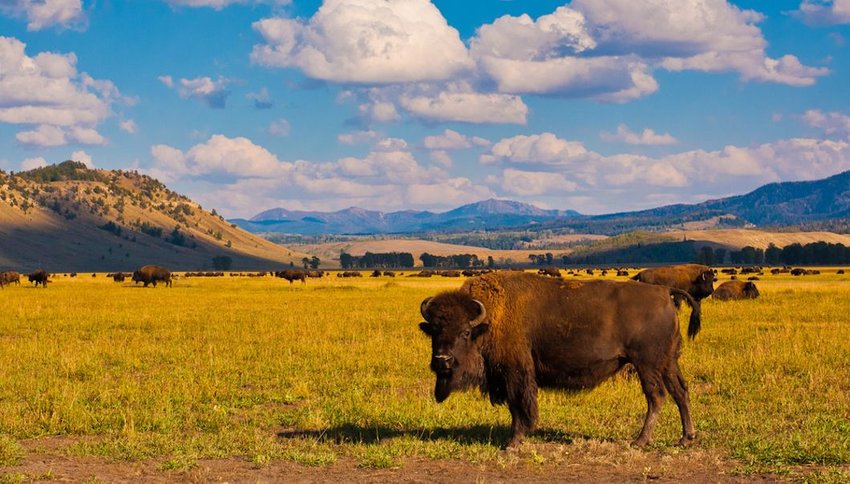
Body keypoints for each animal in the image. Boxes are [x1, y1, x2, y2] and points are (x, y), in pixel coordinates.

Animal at [420, 272, 700, 450]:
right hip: (667, 362)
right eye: (433, 330)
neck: (489, 320)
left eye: (465, 332)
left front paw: (512, 442)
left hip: (647, 364)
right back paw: (685, 438)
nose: (443, 359)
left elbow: (518, 405)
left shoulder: (516, 372)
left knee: (657, 396)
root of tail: (663, 291)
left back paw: (640, 441)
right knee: (680, 392)